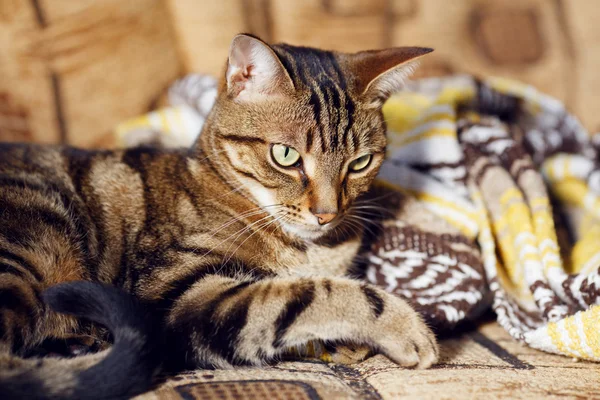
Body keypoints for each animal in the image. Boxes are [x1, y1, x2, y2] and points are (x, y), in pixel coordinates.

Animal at [2, 35, 438, 400]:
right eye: (285, 155)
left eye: (360, 162)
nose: (327, 213)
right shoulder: (177, 292)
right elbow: (309, 294)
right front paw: (405, 328)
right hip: (38, 237)